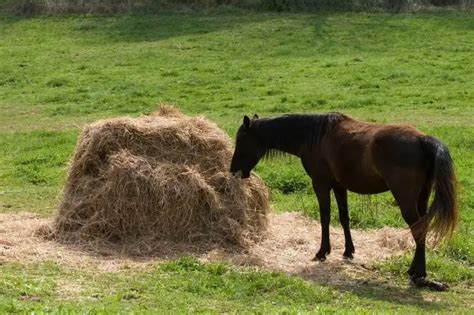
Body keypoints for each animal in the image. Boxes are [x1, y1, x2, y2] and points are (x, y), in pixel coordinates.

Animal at [231, 112, 460, 292]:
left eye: (241, 140)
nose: (233, 170)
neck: (315, 136)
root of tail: (423, 139)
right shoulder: (339, 186)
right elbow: (344, 218)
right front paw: (348, 251)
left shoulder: (321, 184)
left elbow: (325, 217)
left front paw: (322, 252)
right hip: (421, 198)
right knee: (422, 229)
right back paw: (415, 270)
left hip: (406, 201)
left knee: (418, 229)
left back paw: (418, 274)